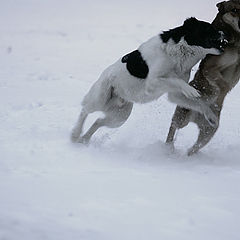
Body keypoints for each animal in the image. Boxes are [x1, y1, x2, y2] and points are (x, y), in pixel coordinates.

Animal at [70, 17, 226, 144]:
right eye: (209, 29)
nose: (224, 33)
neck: (180, 50)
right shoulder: (153, 82)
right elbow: (177, 82)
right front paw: (191, 90)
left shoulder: (174, 95)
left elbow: (199, 103)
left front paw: (211, 117)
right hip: (100, 98)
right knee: (85, 110)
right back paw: (75, 134)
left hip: (120, 116)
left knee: (98, 121)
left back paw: (84, 139)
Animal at [166, 0, 240, 156]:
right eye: (234, 10)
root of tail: (197, 117)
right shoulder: (210, 68)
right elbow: (223, 85)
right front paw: (218, 98)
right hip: (183, 116)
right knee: (173, 126)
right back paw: (168, 147)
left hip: (209, 131)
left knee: (195, 146)